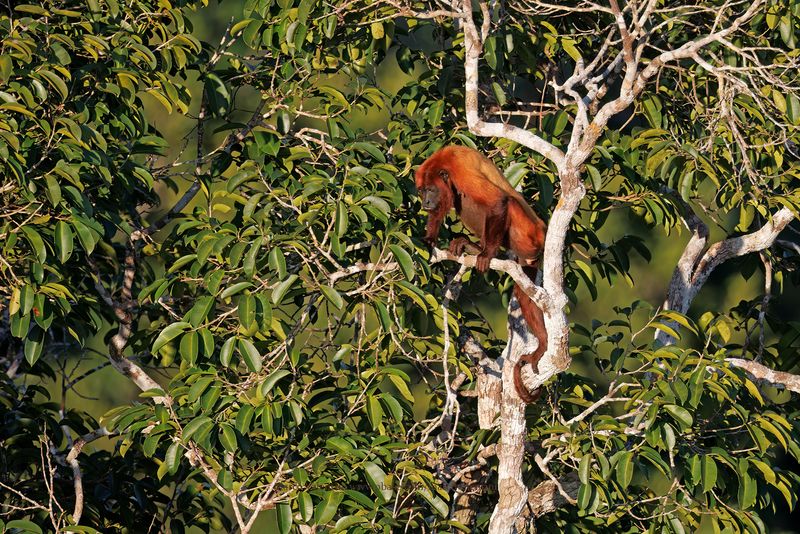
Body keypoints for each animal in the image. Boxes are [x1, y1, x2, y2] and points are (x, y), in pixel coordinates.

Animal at [416, 144, 548, 404]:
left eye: (430, 190)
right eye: (422, 191)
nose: (425, 202)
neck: (443, 165)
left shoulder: (462, 173)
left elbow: (498, 201)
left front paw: (487, 255)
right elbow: (439, 213)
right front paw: (428, 239)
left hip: (526, 234)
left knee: (489, 201)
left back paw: (486, 250)